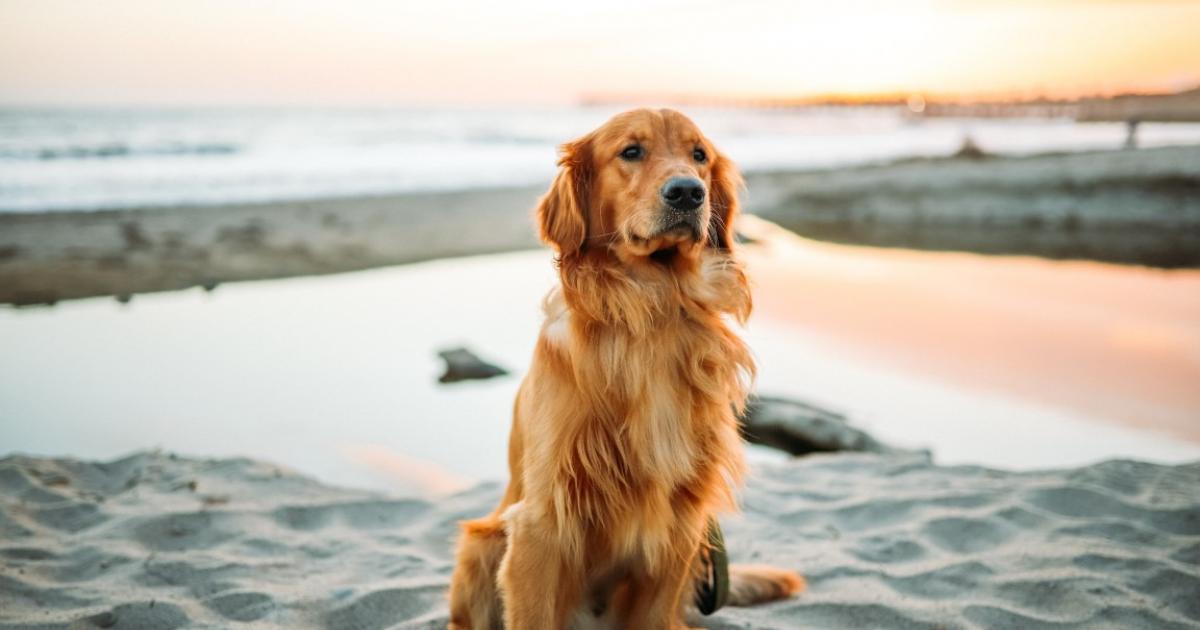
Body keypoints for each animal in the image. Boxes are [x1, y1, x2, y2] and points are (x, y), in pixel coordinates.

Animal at [446, 109, 801, 628]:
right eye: (631, 152)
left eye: (699, 155)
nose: (688, 192)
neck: (653, 308)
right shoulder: (542, 521)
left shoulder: (680, 521)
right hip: (481, 543)